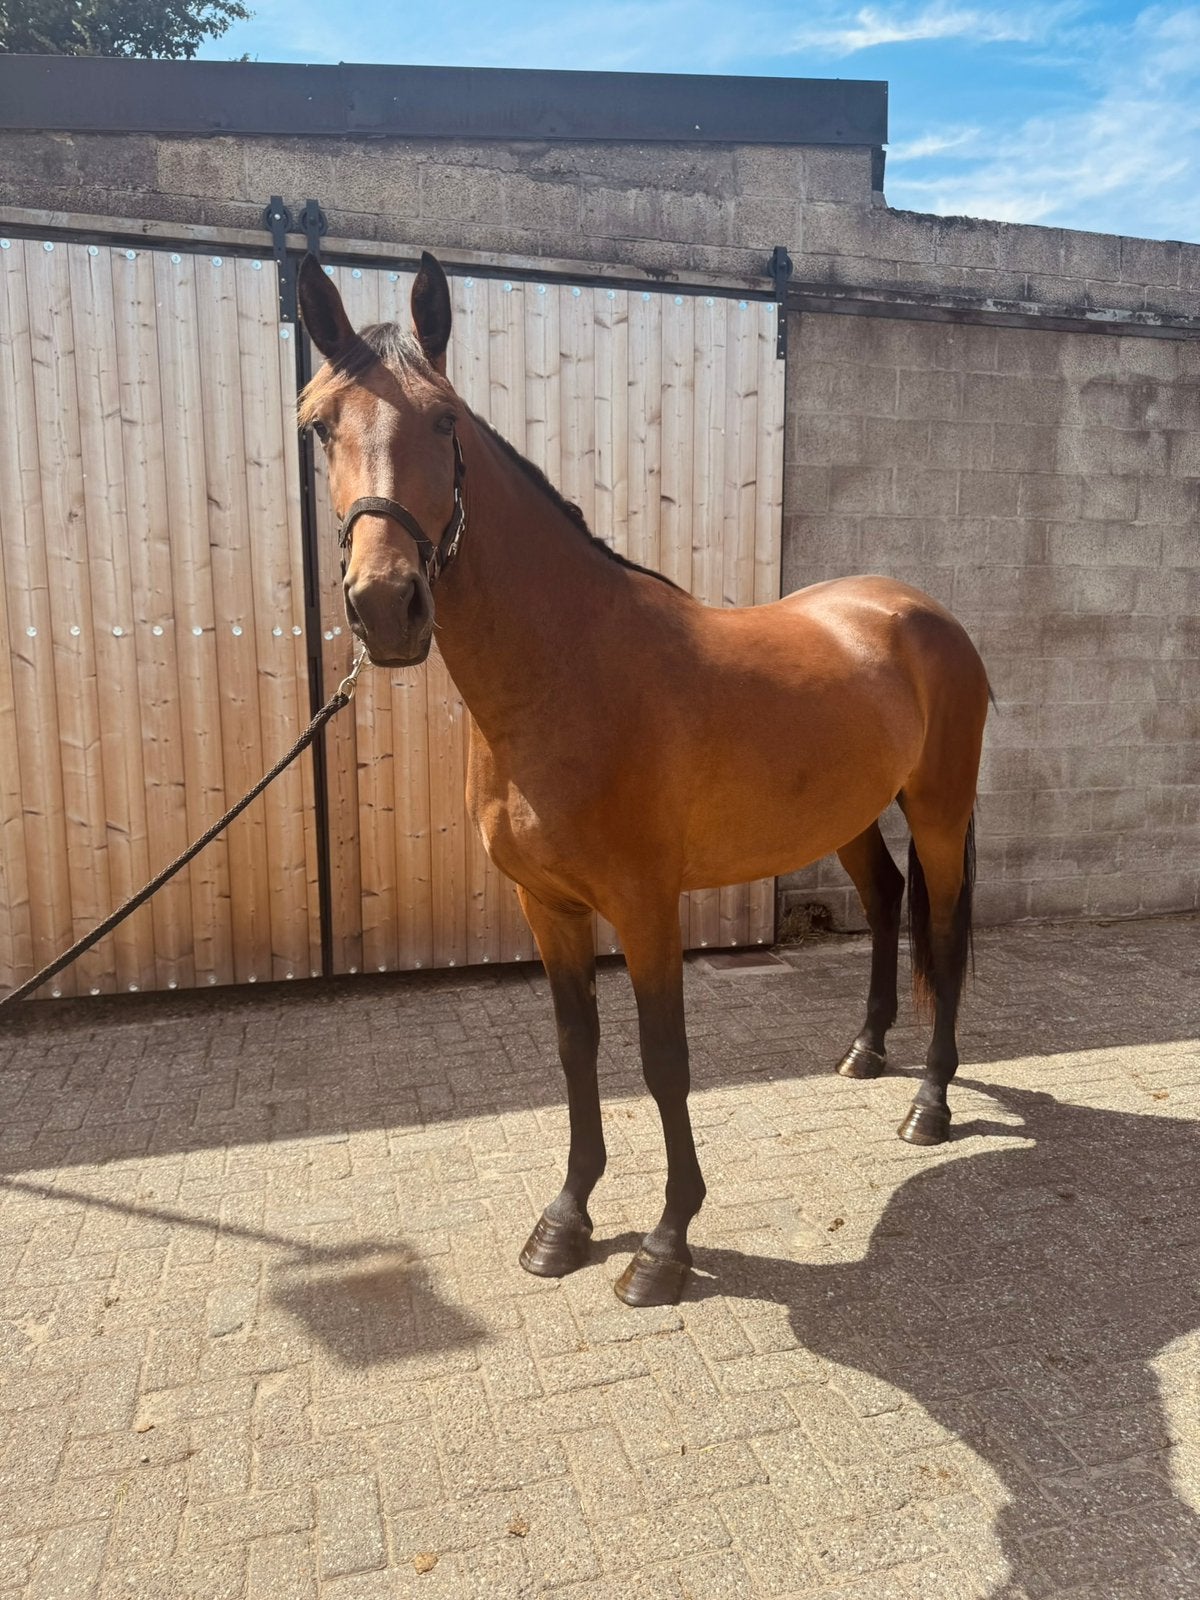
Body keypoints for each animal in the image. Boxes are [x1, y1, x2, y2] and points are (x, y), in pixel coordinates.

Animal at [295, 252, 992, 1308]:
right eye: (318, 425)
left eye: (446, 421)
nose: (387, 606)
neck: (570, 672)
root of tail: (922, 612)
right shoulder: (548, 905)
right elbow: (577, 1052)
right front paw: (566, 1220)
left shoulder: (646, 904)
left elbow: (664, 1061)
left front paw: (666, 1243)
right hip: (849, 816)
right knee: (882, 903)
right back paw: (866, 1053)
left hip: (942, 811)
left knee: (940, 933)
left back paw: (930, 1102)